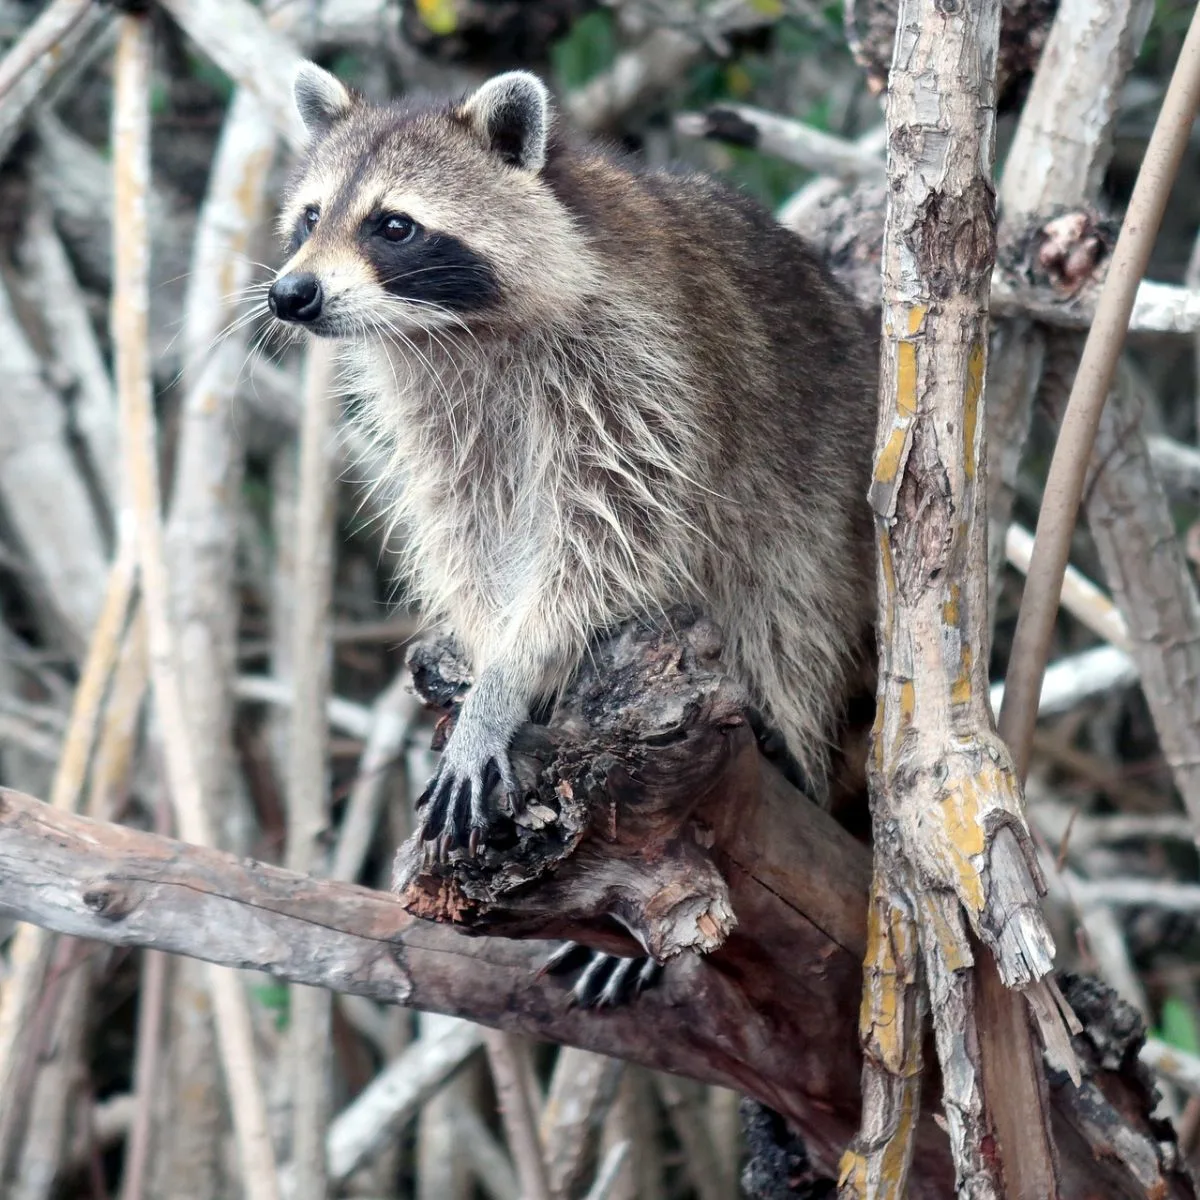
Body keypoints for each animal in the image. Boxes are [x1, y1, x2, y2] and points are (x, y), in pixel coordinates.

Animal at [267, 63, 878, 864]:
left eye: (392, 225)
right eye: (311, 218)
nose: (289, 294)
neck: (457, 331)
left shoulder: (635, 373)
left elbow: (610, 534)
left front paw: (510, 673)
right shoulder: (441, 413)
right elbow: (467, 527)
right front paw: (487, 651)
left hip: (822, 480)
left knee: (788, 599)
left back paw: (790, 738)